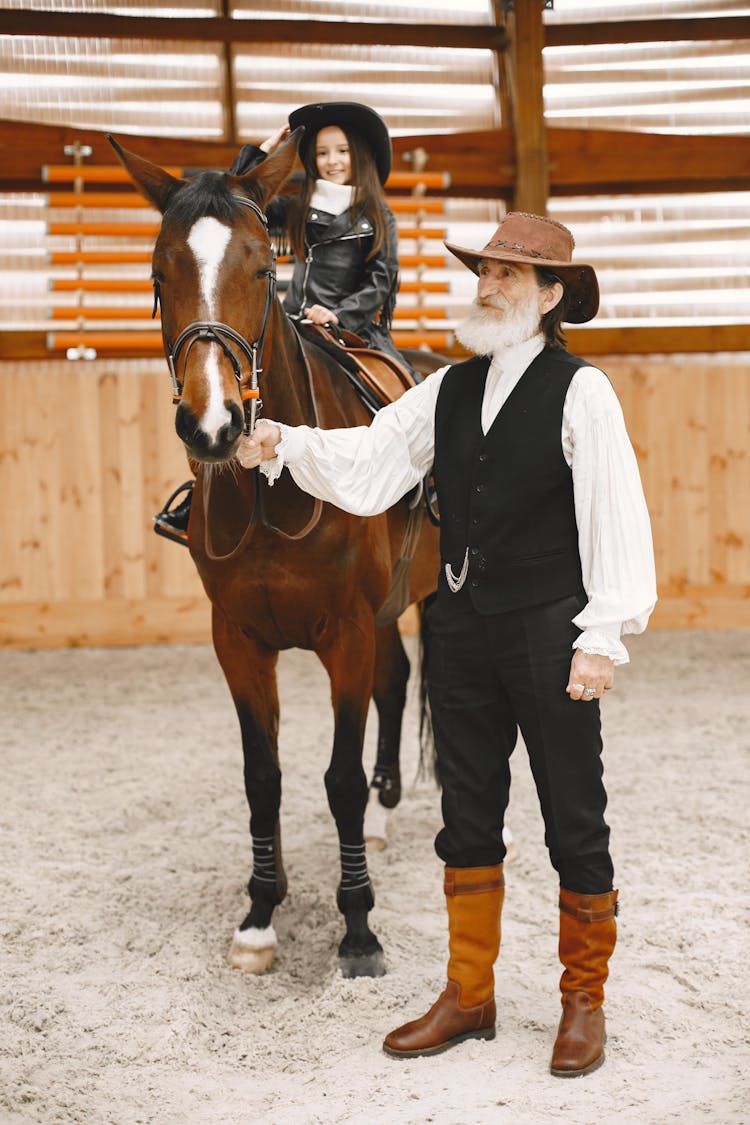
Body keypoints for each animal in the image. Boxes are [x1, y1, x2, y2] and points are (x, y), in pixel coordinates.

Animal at [108, 129, 443, 976]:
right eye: (159, 273)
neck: (271, 484)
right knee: (397, 682)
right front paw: (261, 911)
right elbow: (263, 776)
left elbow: (339, 779)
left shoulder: (345, 633)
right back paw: (385, 818)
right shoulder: (239, 638)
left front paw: (358, 928)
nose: (214, 423)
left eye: (262, 267)